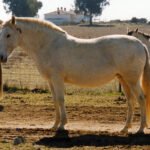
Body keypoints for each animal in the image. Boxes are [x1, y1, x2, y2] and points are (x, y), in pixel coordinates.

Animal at [0, 16, 150, 134]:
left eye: (8, 35)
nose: (1, 57)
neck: (48, 44)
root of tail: (140, 44)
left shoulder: (57, 79)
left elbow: (61, 99)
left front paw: (62, 125)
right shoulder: (50, 81)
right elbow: (55, 100)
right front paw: (54, 125)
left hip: (132, 80)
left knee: (141, 98)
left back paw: (140, 129)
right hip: (124, 79)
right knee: (131, 101)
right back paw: (125, 128)